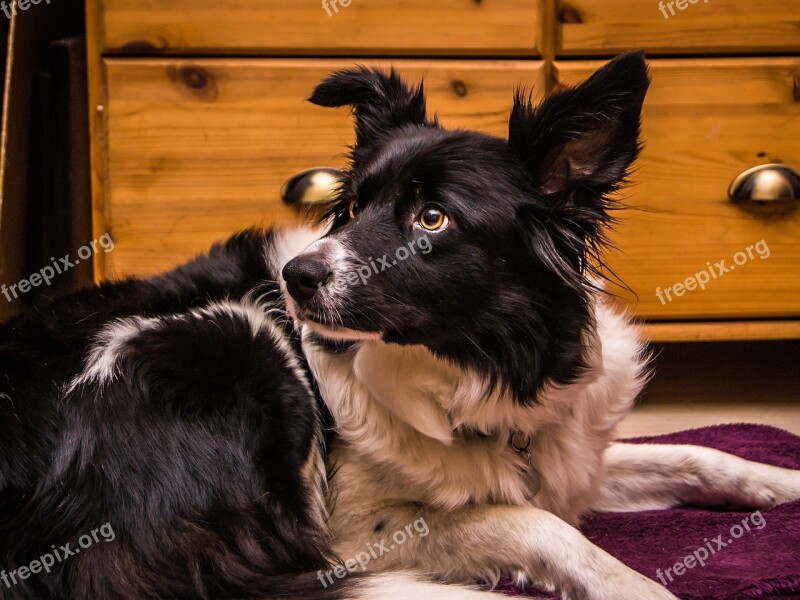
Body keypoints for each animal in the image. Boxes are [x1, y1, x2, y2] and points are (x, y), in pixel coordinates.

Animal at [1, 52, 800, 600]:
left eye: (433, 218)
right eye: (353, 207)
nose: (293, 279)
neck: (483, 370)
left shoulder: (570, 455)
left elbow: (695, 452)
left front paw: (781, 480)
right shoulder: (357, 529)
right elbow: (533, 522)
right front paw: (638, 586)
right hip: (237, 341)